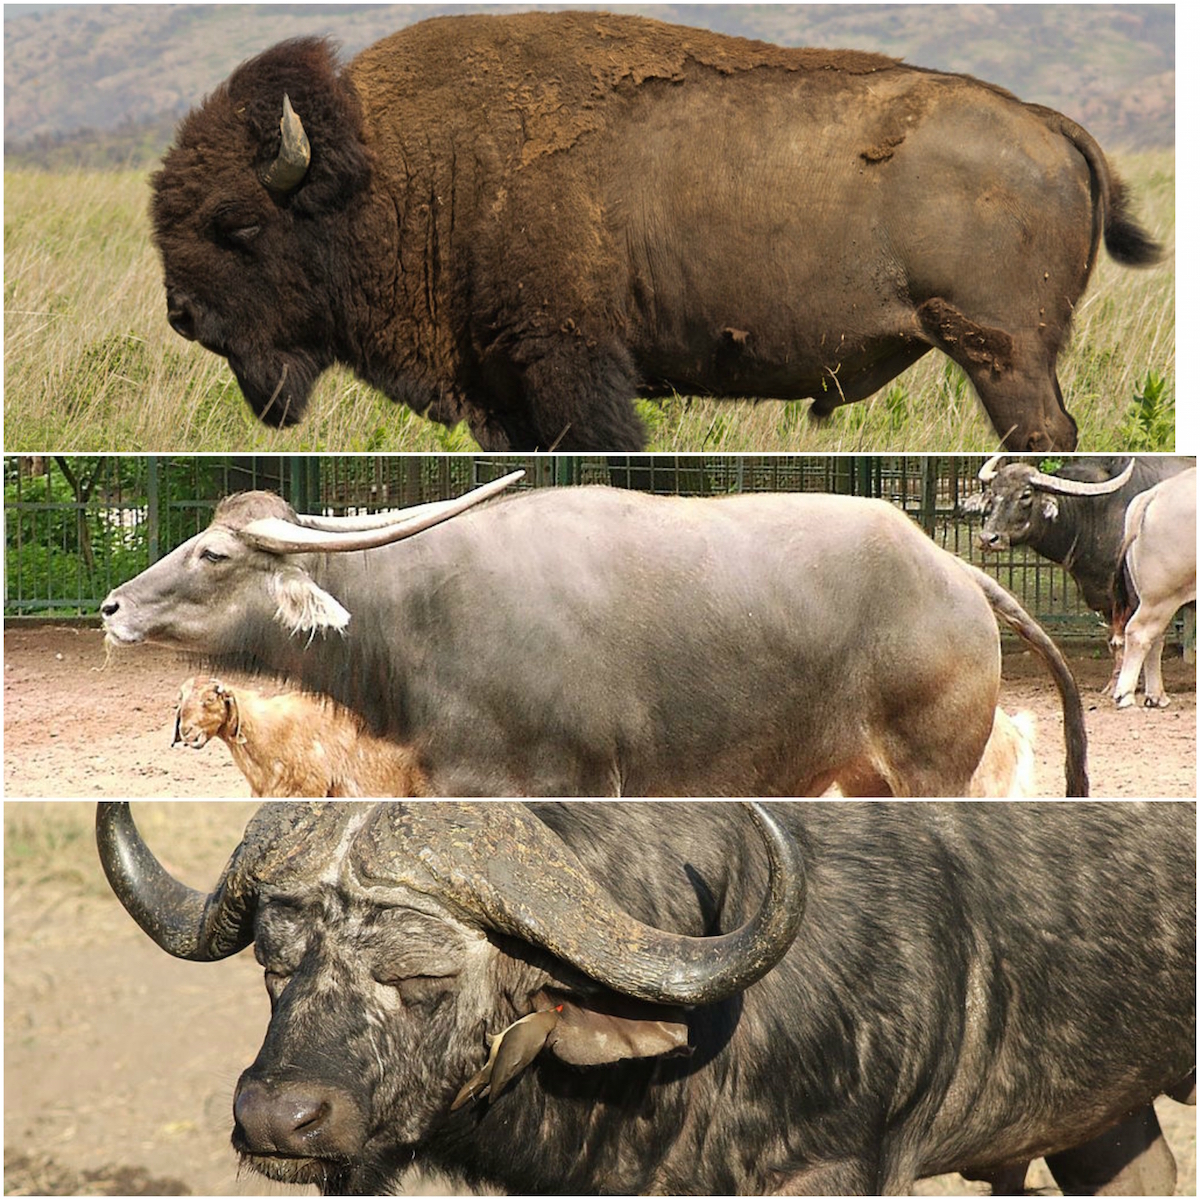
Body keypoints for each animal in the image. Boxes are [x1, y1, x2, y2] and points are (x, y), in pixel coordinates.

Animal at [151, 12, 1162, 453]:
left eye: (236, 223)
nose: (182, 317)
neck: (397, 166)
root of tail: (1044, 122)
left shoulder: (570, 362)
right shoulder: (502, 390)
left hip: (1001, 353)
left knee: (1043, 436)